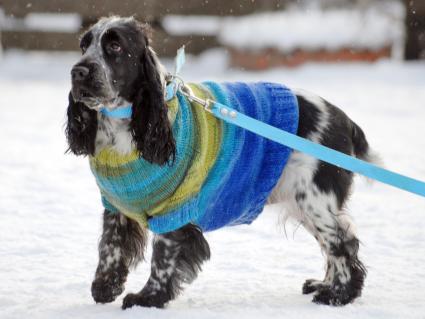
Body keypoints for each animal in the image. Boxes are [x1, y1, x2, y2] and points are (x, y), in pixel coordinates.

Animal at [63, 15, 374, 310]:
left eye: (115, 46)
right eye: (83, 46)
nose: (77, 72)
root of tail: (346, 122)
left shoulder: (175, 209)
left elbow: (162, 256)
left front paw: (147, 298)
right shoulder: (116, 204)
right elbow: (110, 245)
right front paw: (104, 287)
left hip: (313, 198)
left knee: (341, 242)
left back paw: (337, 295)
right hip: (302, 202)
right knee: (336, 242)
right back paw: (324, 285)